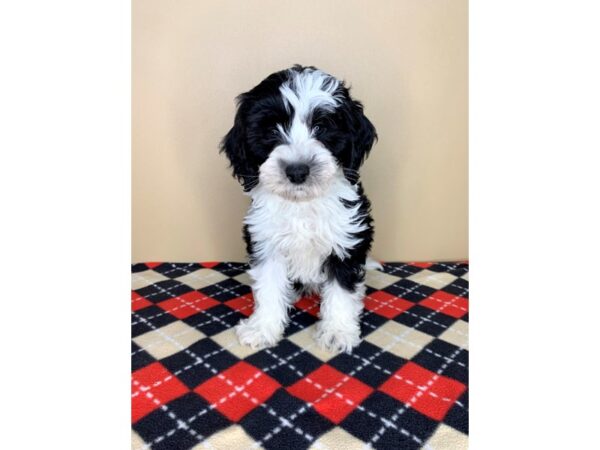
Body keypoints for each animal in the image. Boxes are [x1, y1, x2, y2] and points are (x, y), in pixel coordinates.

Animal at [220, 65, 378, 354]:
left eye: (321, 127)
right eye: (272, 131)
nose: (297, 171)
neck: (302, 204)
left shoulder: (346, 240)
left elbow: (341, 289)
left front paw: (337, 331)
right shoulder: (266, 241)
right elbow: (269, 286)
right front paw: (263, 328)